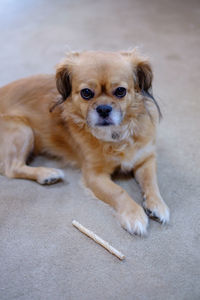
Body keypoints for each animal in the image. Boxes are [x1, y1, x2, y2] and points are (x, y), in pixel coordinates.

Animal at [0, 50, 170, 236]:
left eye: (120, 91)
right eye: (86, 93)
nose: (104, 109)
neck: (115, 134)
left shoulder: (145, 159)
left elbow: (151, 182)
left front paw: (157, 204)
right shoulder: (94, 175)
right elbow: (119, 192)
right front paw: (134, 215)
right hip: (23, 130)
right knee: (11, 168)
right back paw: (47, 174)